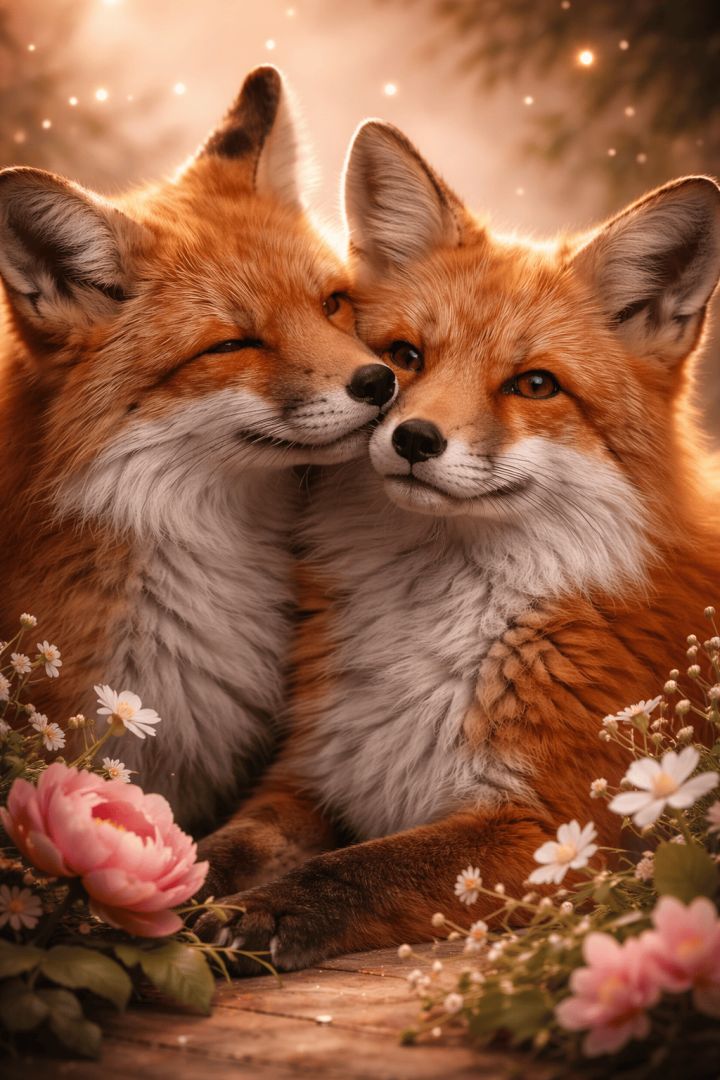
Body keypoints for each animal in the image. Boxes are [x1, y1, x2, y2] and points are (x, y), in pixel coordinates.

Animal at [195, 120, 720, 970]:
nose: (413, 438)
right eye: (404, 358)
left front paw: (263, 913)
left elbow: (363, 869)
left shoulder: (556, 831)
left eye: (535, 384)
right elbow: (226, 841)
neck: (435, 625)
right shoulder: (314, 773)